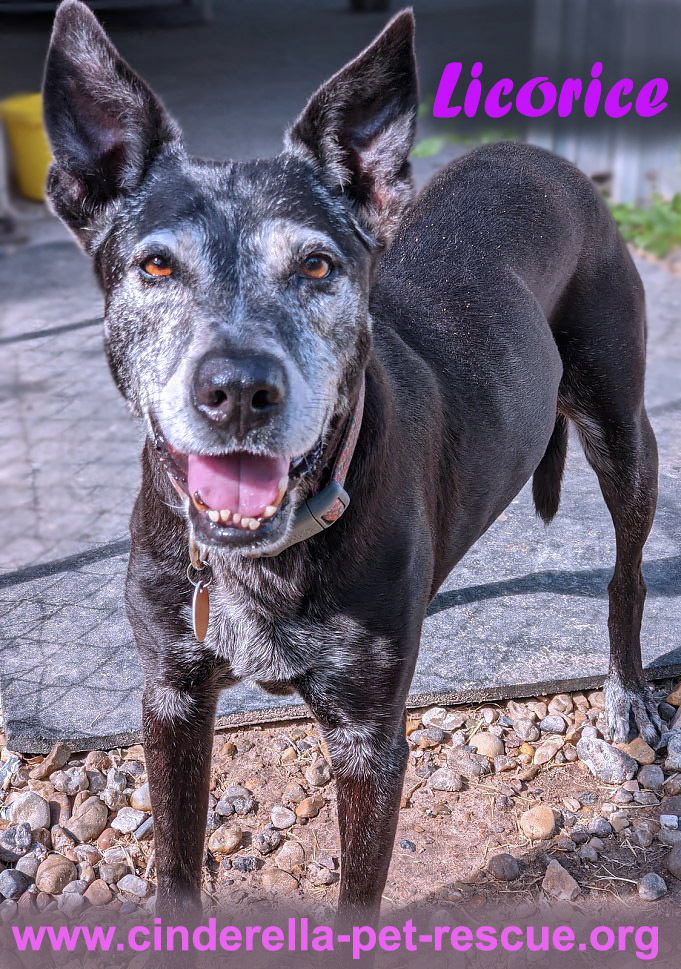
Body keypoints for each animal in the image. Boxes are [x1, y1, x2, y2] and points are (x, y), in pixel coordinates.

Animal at [43, 0, 660, 924]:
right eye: (155, 263)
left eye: (316, 265)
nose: (238, 389)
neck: (263, 553)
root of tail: (546, 155)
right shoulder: (171, 698)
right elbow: (177, 869)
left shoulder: (370, 743)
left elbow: (354, 903)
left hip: (621, 431)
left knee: (626, 572)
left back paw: (625, 689)